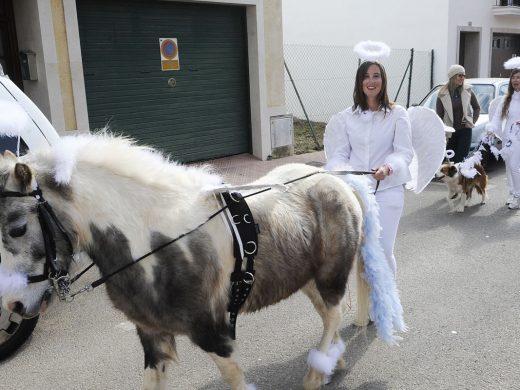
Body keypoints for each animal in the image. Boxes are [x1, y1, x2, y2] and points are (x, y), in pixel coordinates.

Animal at [0, 133, 404, 386]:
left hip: (330, 274)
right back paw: (333, 359)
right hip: (305, 278)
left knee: (334, 313)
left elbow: (234, 378)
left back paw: (317, 372)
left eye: (17, 228)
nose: (15, 306)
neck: (154, 244)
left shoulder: (212, 333)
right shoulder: (153, 337)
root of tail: (335, 180)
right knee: (326, 316)